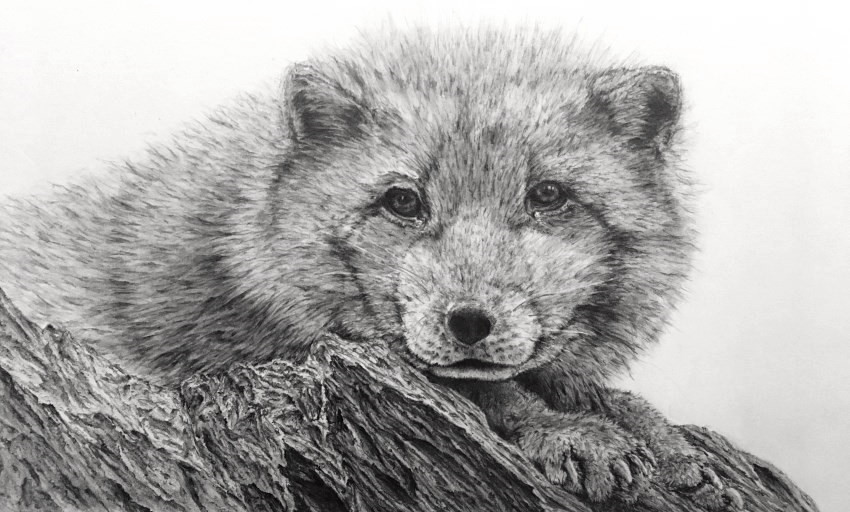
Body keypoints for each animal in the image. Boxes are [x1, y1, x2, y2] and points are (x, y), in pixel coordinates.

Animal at [0, 25, 743, 508]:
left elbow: (593, 391)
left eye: (549, 196)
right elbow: (495, 395)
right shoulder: (263, 350)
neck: (233, 239)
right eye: (403, 201)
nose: (469, 322)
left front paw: (667, 448)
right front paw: (577, 437)